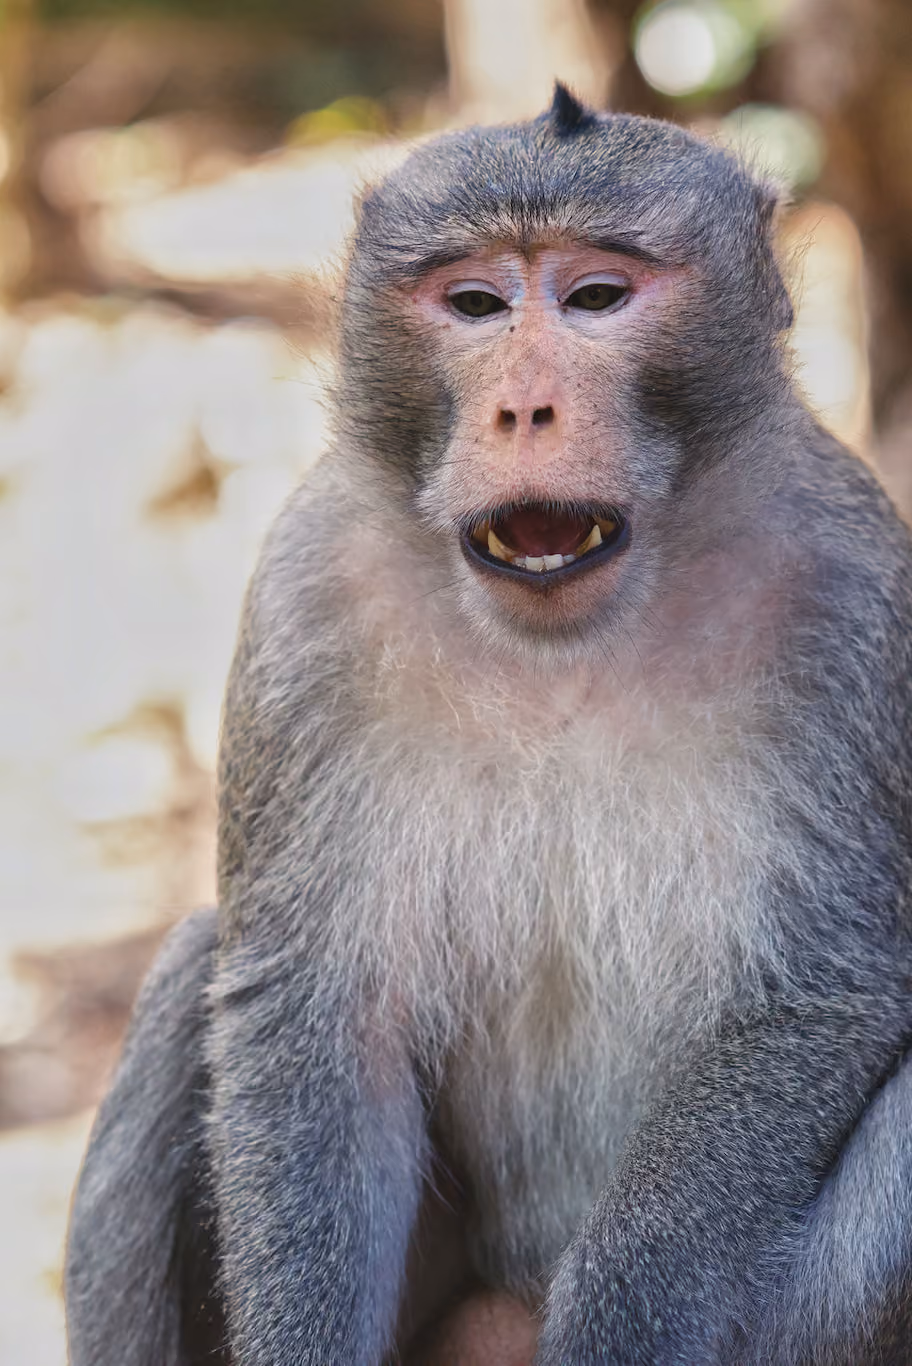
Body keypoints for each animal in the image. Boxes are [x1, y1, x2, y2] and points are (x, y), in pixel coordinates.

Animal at [65, 84, 912, 1365]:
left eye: (597, 296)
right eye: (474, 303)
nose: (524, 405)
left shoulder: (854, 596)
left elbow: (818, 992)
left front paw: (620, 1318)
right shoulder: (310, 595)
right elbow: (315, 1006)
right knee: (187, 977)